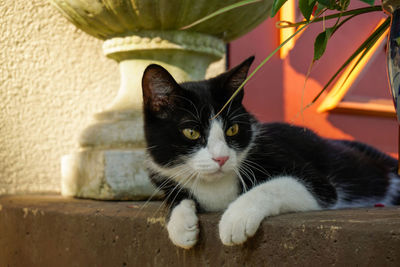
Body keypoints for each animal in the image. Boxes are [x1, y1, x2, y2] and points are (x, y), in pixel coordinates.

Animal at [141, 56, 400, 249]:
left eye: (232, 129)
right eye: (191, 132)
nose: (221, 158)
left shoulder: (319, 184)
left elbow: (278, 185)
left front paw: (236, 218)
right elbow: (175, 196)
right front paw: (180, 225)